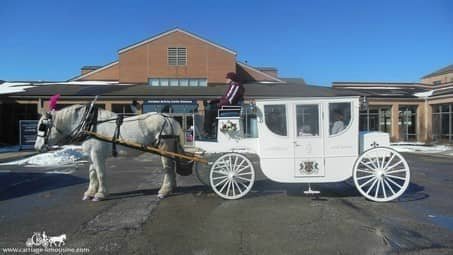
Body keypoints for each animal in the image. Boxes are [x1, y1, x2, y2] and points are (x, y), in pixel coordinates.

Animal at [33, 104, 185, 200]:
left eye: (42, 126)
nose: (37, 147)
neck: (90, 125)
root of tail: (169, 118)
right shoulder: (92, 156)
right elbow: (92, 174)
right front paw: (89, 193)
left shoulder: (97, 154)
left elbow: (100, 174)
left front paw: (100, 194)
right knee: (171, 166)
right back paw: (172, 188)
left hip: (164, 147)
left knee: (168, 168)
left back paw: (164, 191)